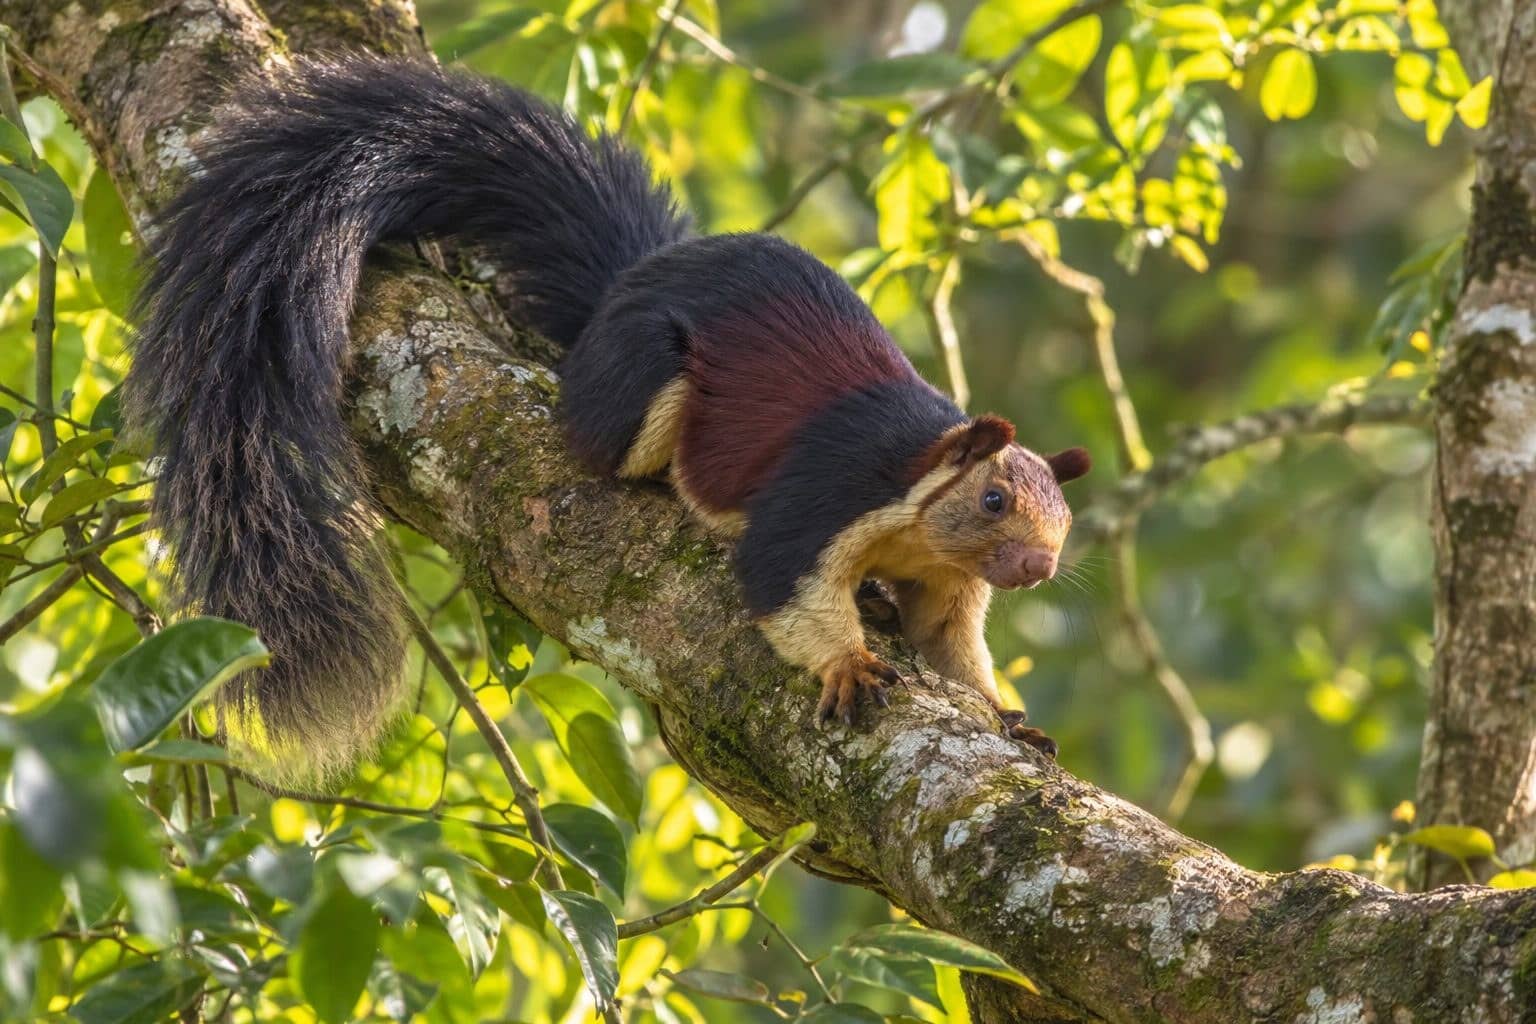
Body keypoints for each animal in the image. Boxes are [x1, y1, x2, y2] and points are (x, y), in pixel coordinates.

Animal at [124, 56, 1089, 776]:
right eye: (995, 500)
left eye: (1066, 522)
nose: (1039, 568)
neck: (920, 518)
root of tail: (623, 288)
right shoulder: (833, 487)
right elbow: (783, 578)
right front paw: (849, 662)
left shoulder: (951, 584)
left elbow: (952, 649)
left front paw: (1007, 714)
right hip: (642, 380)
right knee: (612, 450)